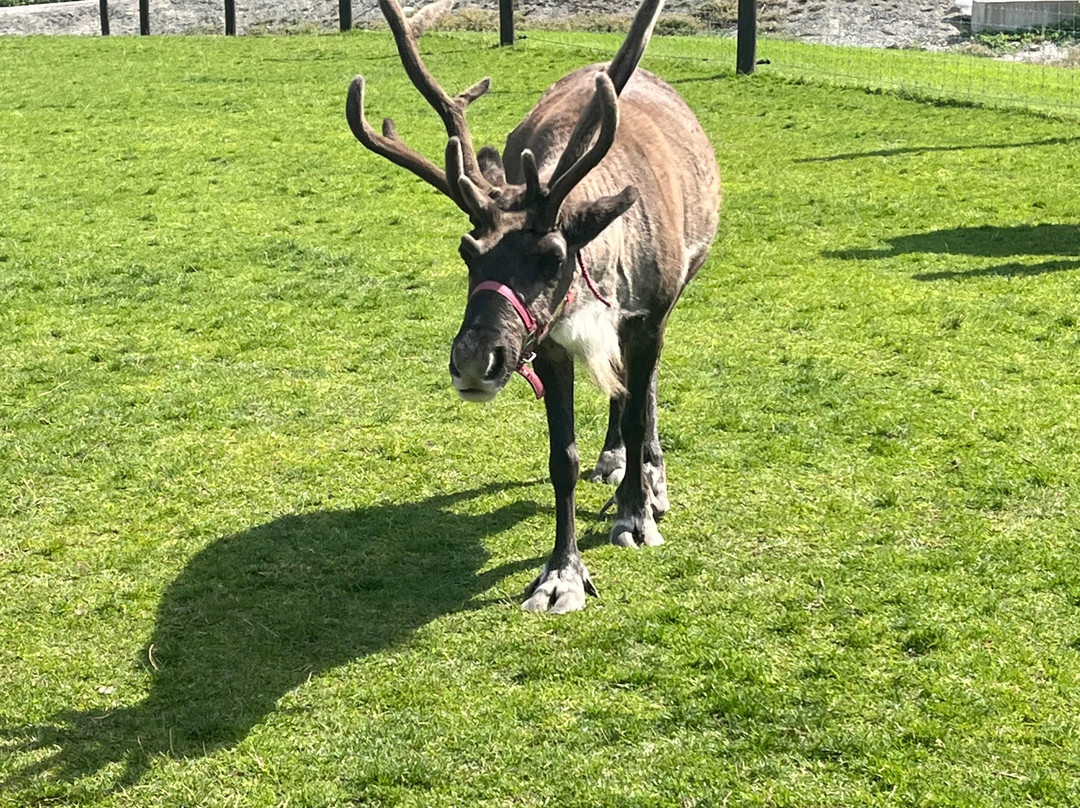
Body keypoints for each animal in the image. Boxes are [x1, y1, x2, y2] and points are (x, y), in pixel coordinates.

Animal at [346, 0, 720, 613]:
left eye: (552, 256)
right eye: (467, 250)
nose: (475, 360)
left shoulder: (647, 319)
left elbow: (638, 409)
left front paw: (636, 514)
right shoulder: (545, 344)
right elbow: (562, 457)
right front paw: (562, 573)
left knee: (645, 392)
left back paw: (650, 475)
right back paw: (615, 459)